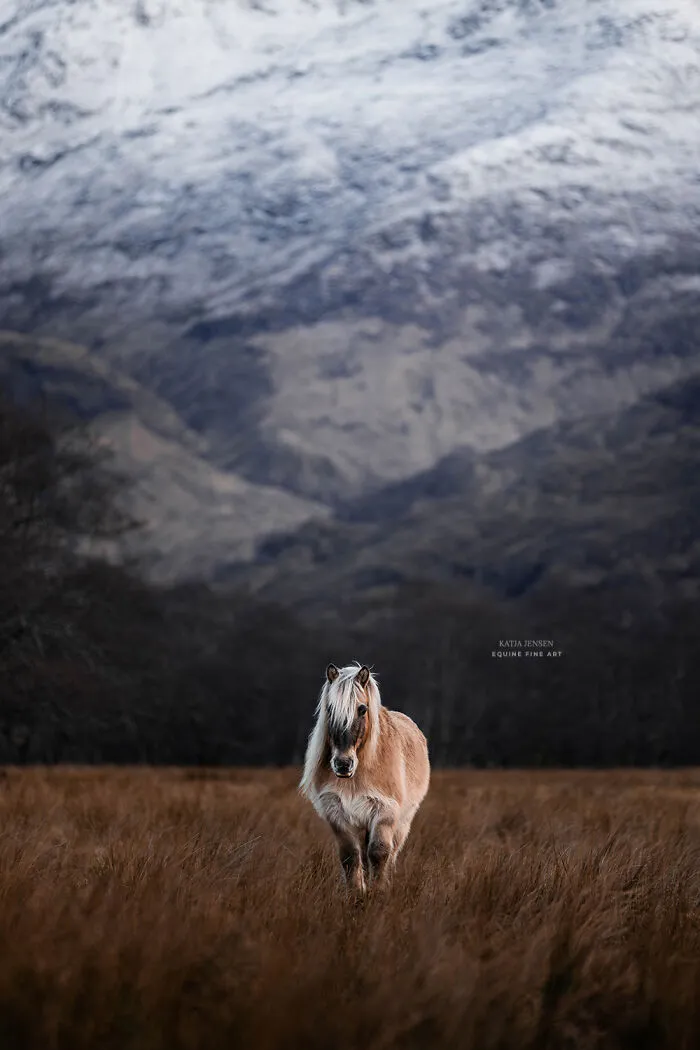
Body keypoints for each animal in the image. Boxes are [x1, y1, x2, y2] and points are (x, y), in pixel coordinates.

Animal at [300, 662, 430, 895]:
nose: (343, 764)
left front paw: (378, 892)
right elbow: (350, 856)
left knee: (390, 853)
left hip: (402, 822)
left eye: (362, 709)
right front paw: (356, 893)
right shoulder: (337, 812)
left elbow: (379, 853)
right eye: (330, 709)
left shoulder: (385, 811)